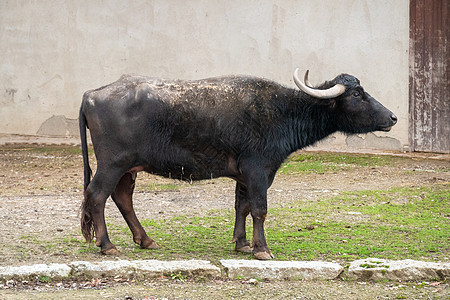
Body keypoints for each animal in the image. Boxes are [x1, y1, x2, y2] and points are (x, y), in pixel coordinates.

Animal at [78, 67, 398, 258]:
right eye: (357, 94)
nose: (393, 117)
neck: (282, 111)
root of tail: (92, 94)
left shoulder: (245, 176)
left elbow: (241, 206)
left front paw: (243, 243)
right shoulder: (259, 171)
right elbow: (259, 209)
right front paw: (262, 249)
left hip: (128, 168)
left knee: (122, 198)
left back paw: (145, 239)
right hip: (112, 163)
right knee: (97, 195)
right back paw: (107, 245)